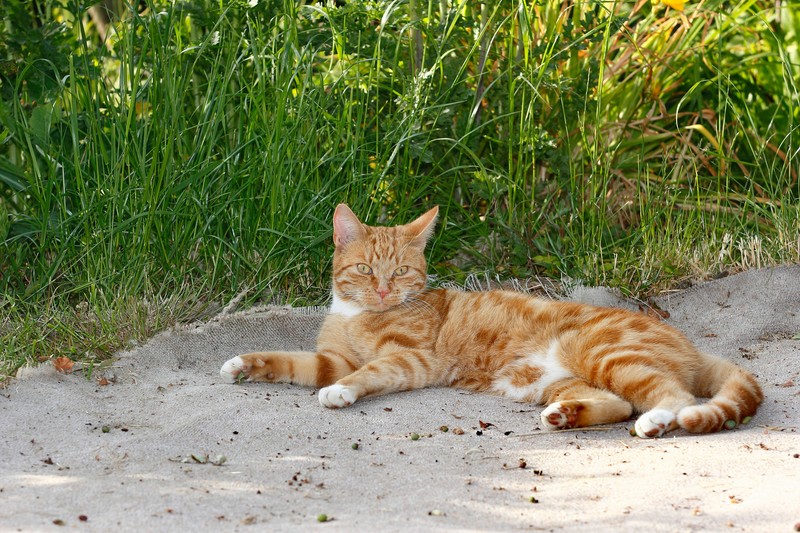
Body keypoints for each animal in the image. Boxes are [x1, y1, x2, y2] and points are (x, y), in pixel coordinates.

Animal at [220, 204, 764, 436]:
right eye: (365, 269)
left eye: (401, 271)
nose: (383, 289)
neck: (361, 316)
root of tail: (687, 342)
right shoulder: (331, 358)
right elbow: (291, 361)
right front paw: (244, 364)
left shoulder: (412, 360)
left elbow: (366, 372)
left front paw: (341, 393)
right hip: (558, 380)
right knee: (616, 402)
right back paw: (567, 416)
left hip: (602, 353)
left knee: (673, 397)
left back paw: (656, 420)